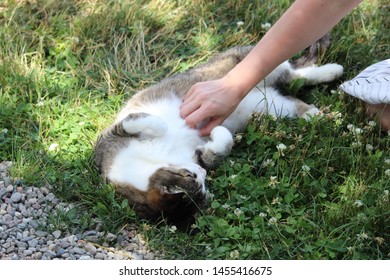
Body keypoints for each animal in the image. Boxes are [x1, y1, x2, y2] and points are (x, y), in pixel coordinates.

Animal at [93, 44, 342, 228]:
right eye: (200, 184)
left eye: (191, 176)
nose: (202, 173)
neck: (152, 160)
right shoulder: (197, 155)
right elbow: (218, 149)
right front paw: (217, 134)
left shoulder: (109, 137)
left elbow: (137, 122)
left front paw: (163, 124)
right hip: (274, 107)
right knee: (296, 90)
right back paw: (320, 113)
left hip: (248, 61)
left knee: (292, 70)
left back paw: (333, 70)